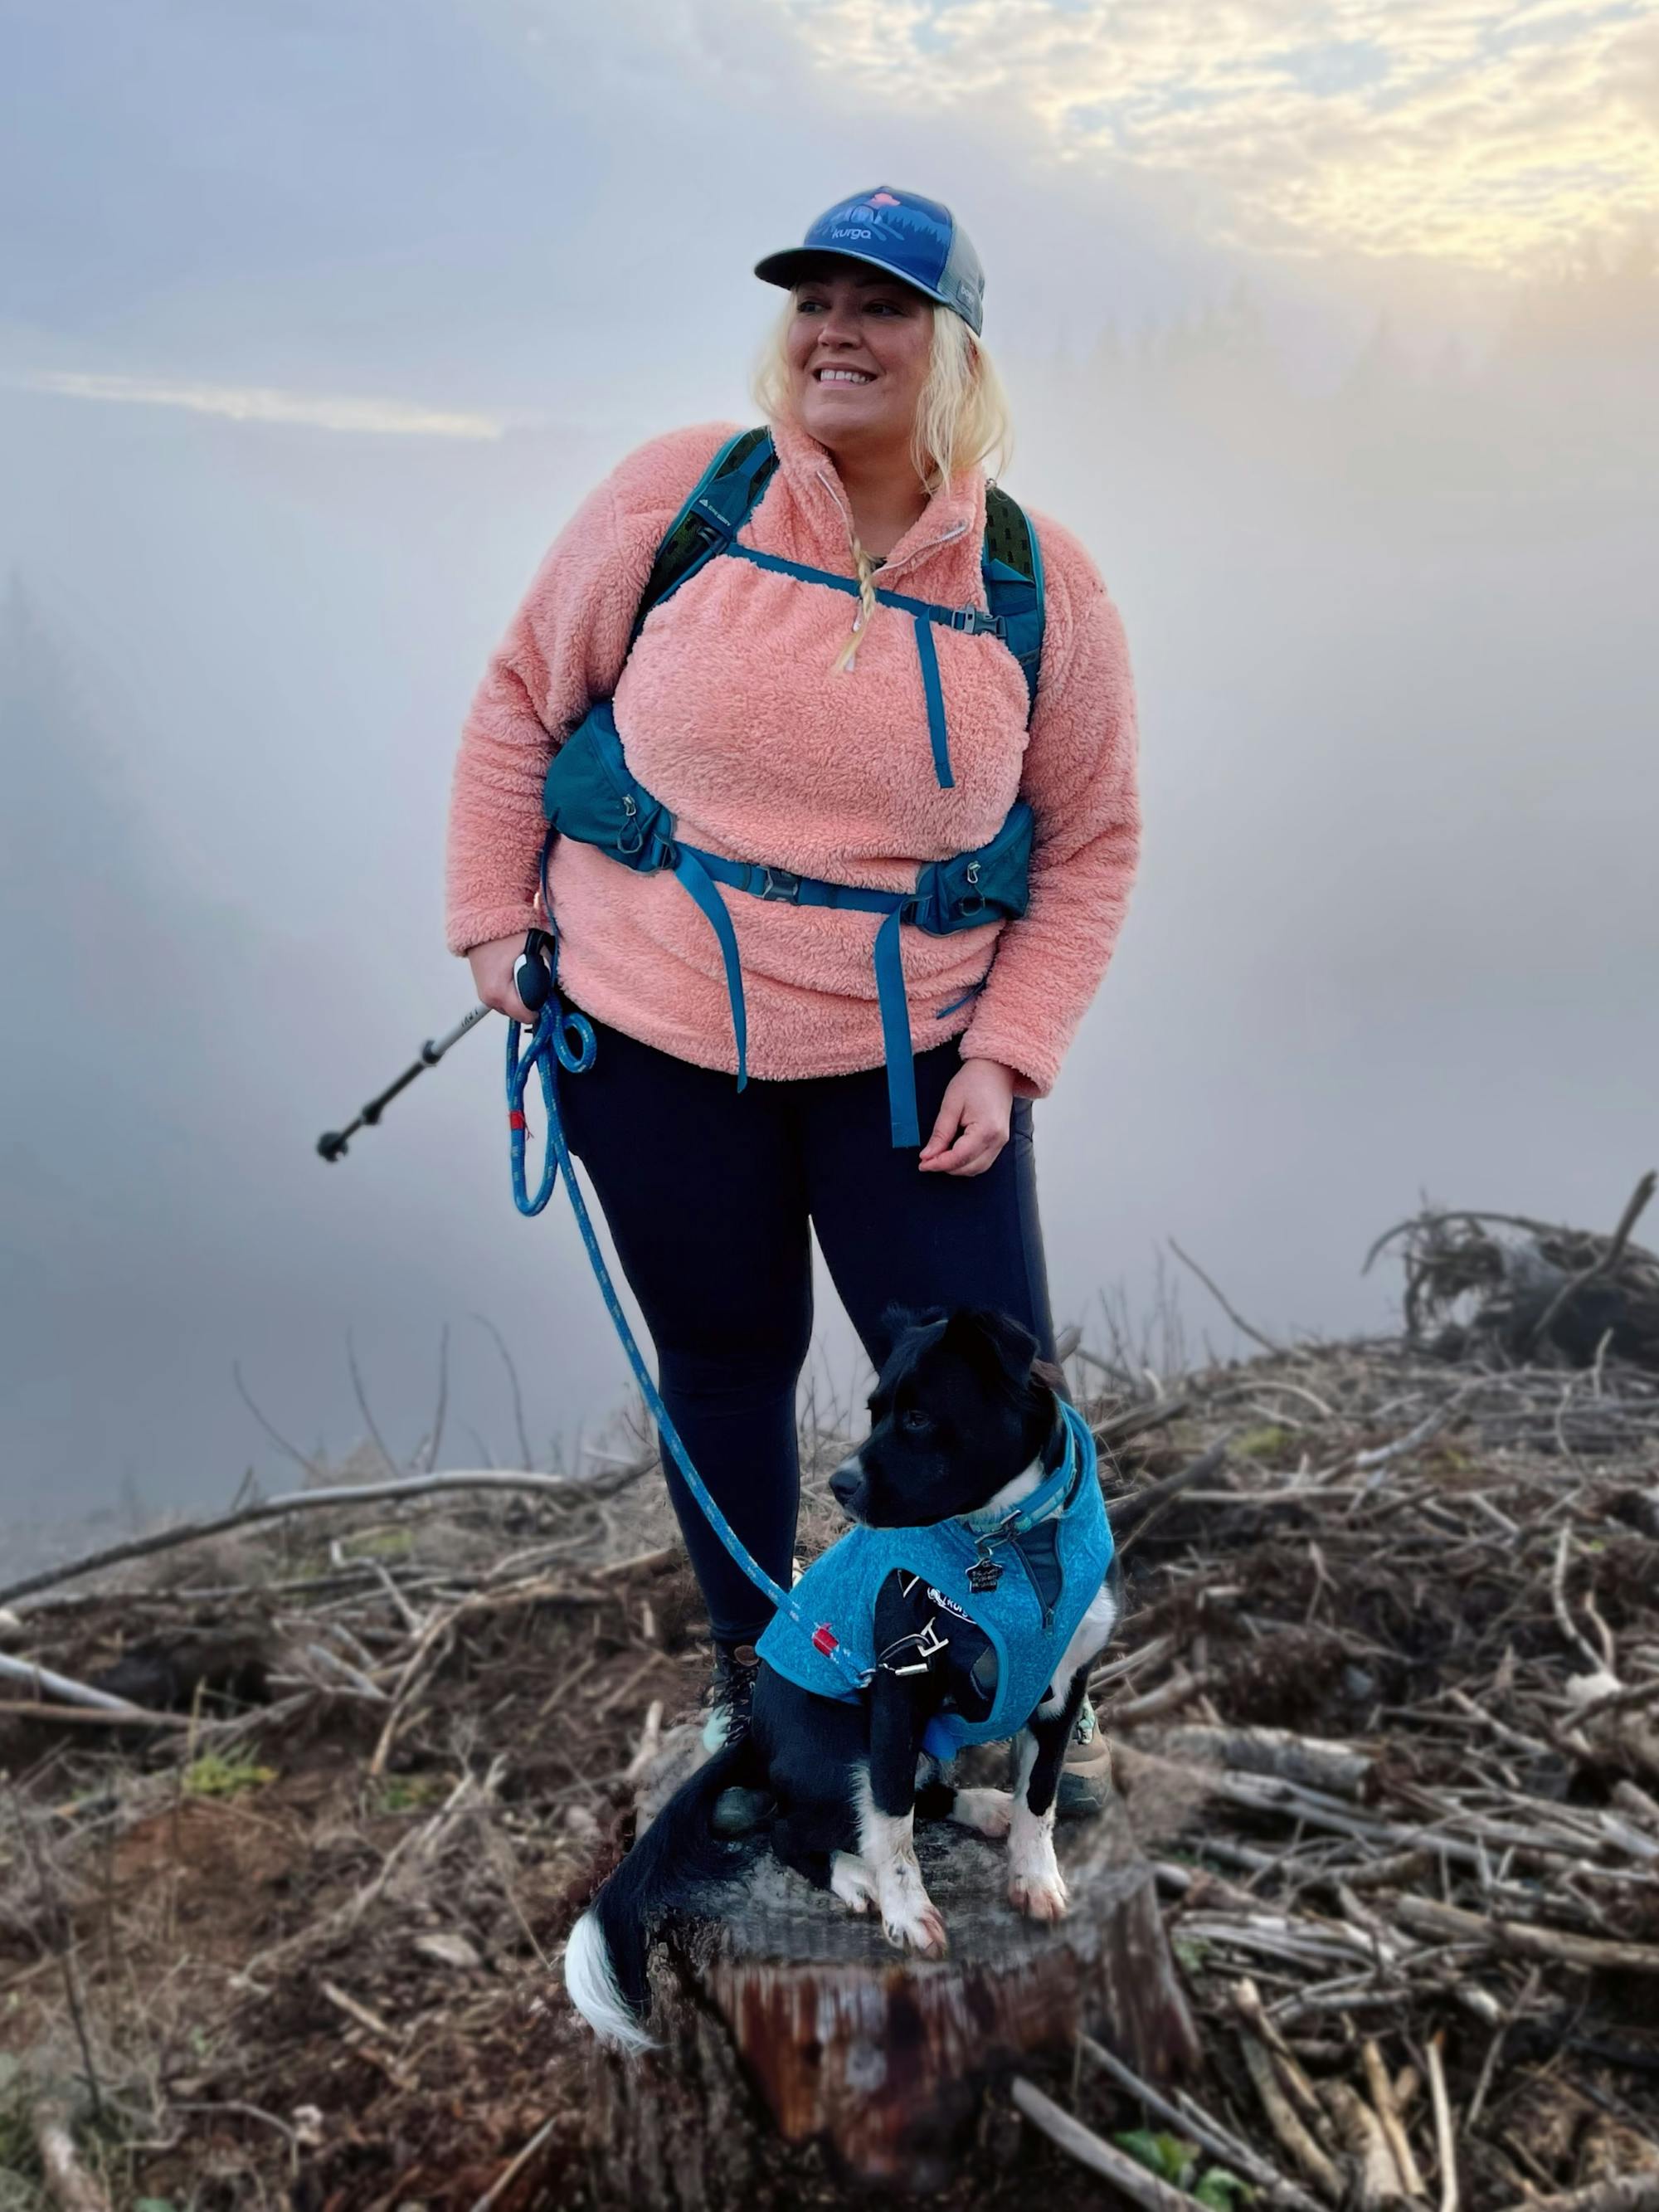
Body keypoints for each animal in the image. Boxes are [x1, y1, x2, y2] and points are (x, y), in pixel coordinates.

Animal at [566, 1309, 1123, 2053]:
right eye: (874, 1412)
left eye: (916, 1416)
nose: (838, 1485)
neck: (1012, 1545)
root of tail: (755, 1737)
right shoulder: (897, 1691)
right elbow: (892, 1826)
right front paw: (906, 1911)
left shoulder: (1062, 1690)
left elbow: (1039, 1798)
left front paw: (1035, 1878)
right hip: (839, 1750)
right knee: (795, 1830)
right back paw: (857, 1876)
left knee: (918, 1793)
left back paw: (981, 1806)